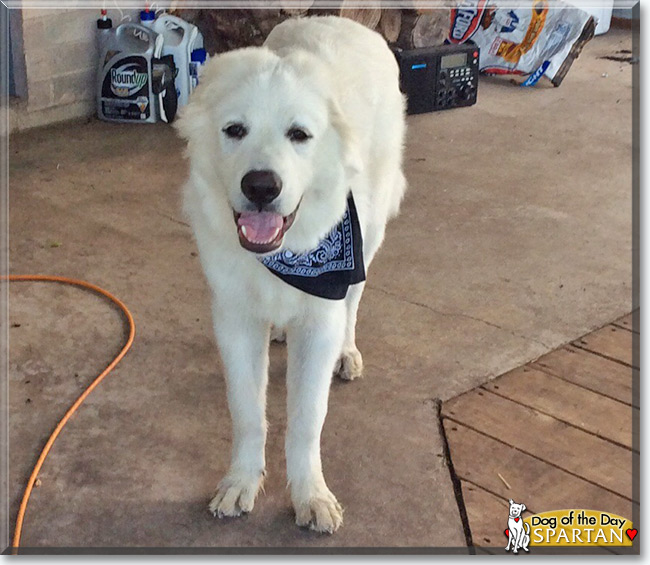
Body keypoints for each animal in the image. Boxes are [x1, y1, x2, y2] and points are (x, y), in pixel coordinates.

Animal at [175, 15, 402, 532]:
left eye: (299, 134)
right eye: (235, 129)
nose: (261, 186)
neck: (279, 255)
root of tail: (341, 20)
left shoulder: (320, 318)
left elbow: (305, 420)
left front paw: (310, 495)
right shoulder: (235, 319)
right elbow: (247, 412)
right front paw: (241, 483)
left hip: (370, 232)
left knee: (354, 301)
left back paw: (347, 351)